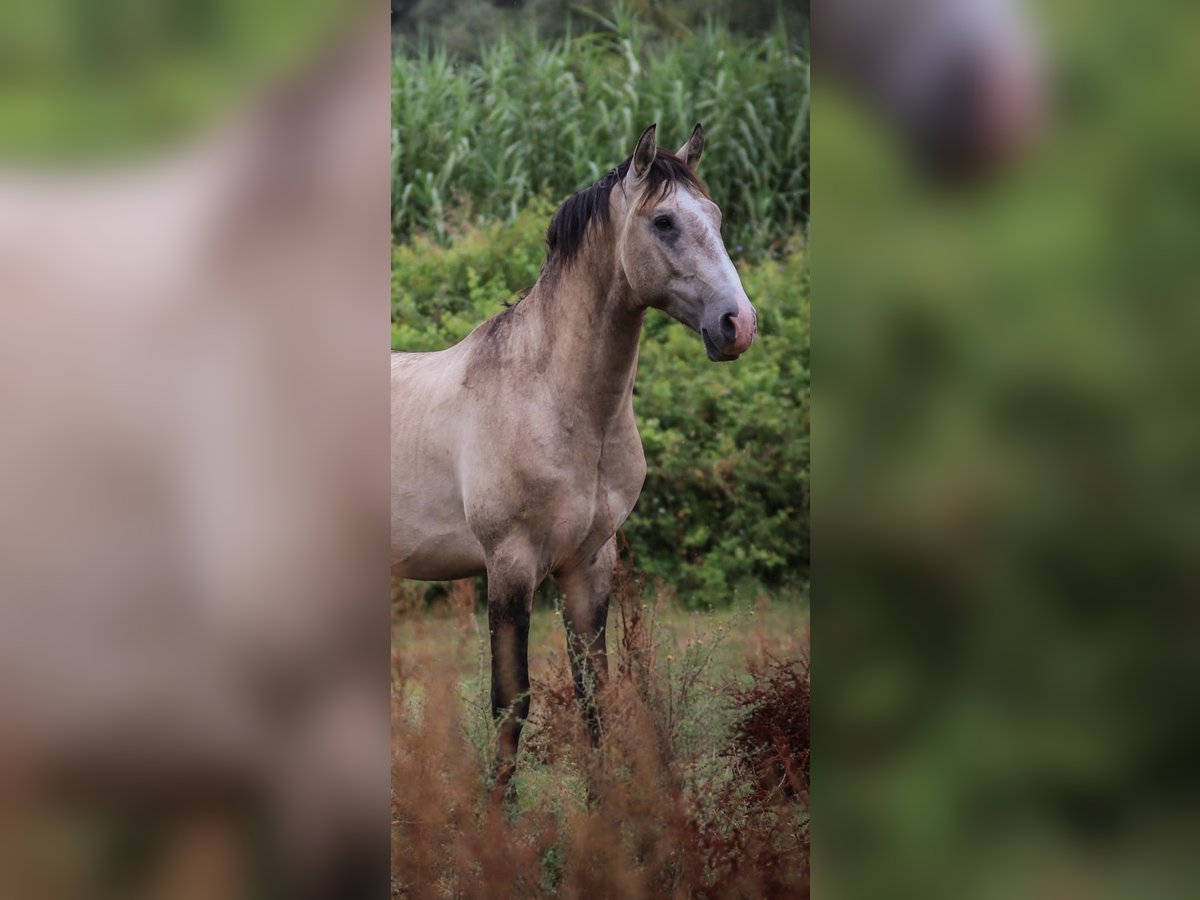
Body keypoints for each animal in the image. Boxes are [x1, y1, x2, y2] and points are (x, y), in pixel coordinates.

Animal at [388, 123, 753, 792]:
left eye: (715, 216)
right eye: (664, 221)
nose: (737, 325)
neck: (552, 396)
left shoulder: (588, 564)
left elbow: (593, 694)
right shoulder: (509, 565)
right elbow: (511, 700)